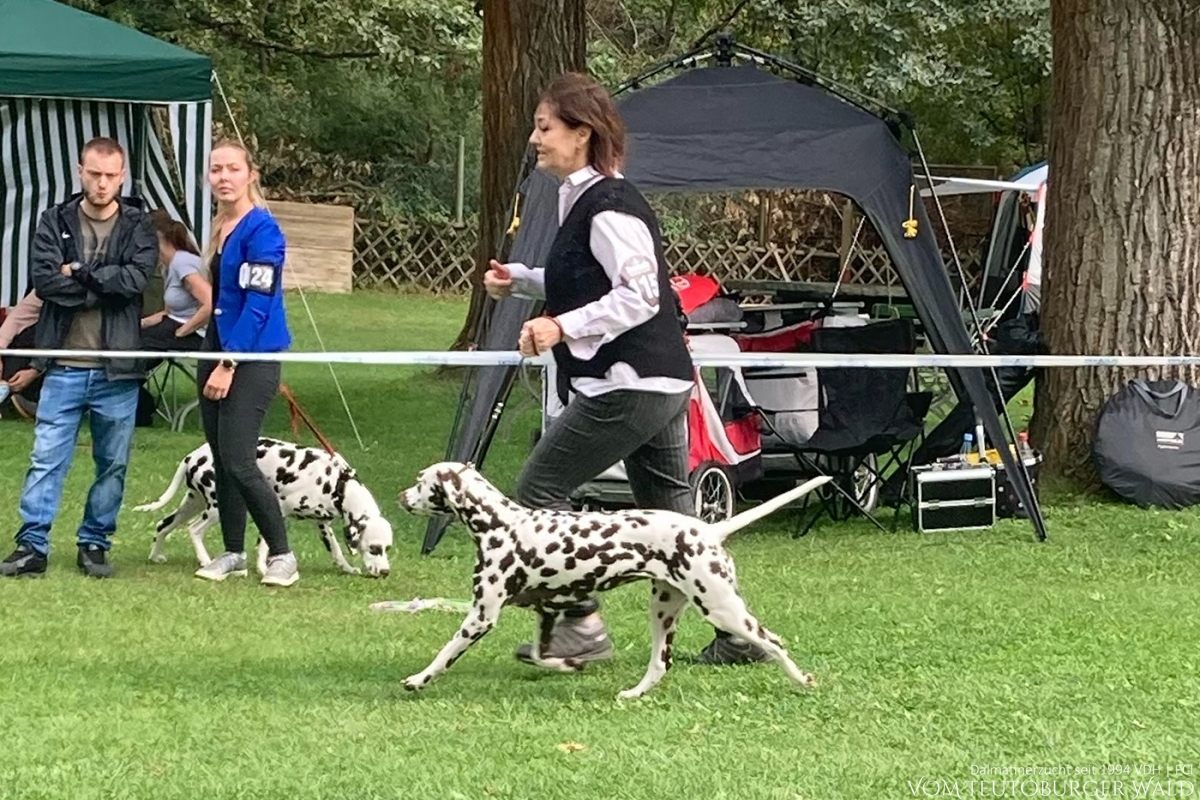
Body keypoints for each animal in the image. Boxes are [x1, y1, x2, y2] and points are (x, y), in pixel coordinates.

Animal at [135, 434, 393, 578]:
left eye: (387, 549)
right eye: (374, 548)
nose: (385, 572)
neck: (338, 482)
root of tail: (194, 455)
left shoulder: (322, 523)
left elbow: (337, 550)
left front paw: (347, 568)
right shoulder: (278, 508)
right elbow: (264, 544)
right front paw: (264, 569)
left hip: (193, 503)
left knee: (163, 524)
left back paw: (155, 555)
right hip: (215, 508)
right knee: (194, 530)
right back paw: (206, 561)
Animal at [398, 462, 830, 700]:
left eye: (421, 481)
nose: (402, 496)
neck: (502, 524)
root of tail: (710, 530)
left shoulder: (480, 617)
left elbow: (444, 654)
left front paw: (418, 679)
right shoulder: (546, 612)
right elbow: (541, 655)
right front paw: (570, 665)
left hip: (722, 609)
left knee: (775, 643)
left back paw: (802, 680)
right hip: (663, 611)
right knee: (660, 665)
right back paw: (633, 694)